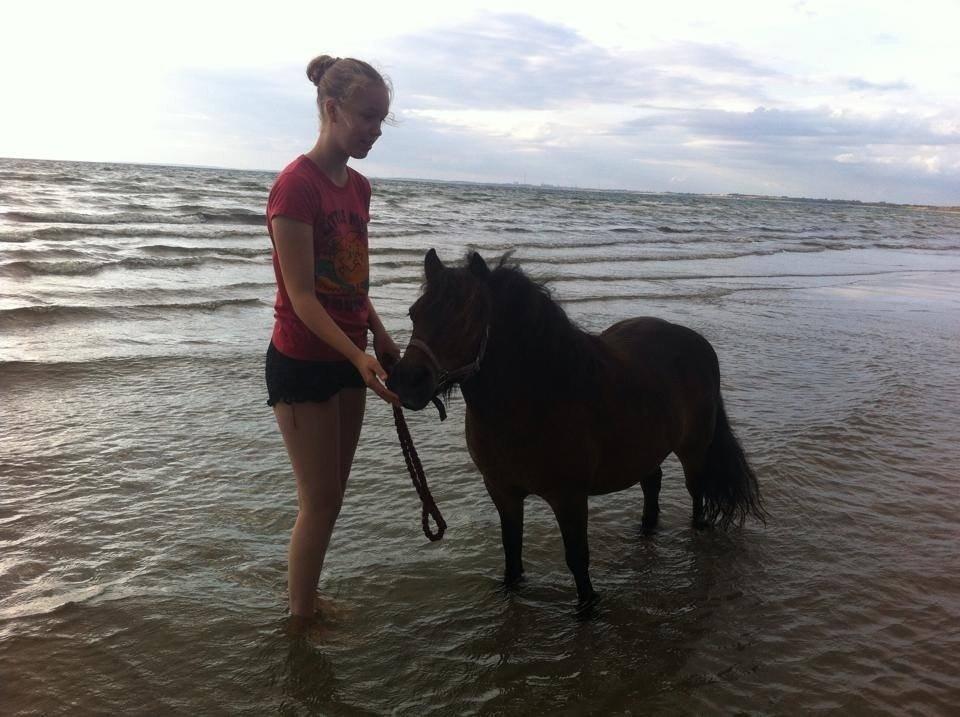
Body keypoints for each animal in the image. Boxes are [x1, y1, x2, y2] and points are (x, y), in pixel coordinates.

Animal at [386, 249, 760, 608]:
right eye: (414, 313)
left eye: (466, 317)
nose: (406, 382)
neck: (532, 402)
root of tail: (697, 343)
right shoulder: (502, 492)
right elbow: (511, 552)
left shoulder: (569, 498)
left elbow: (577, 559)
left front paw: (588, 607)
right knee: (652, 483)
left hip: (694, 450)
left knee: (697, 494)